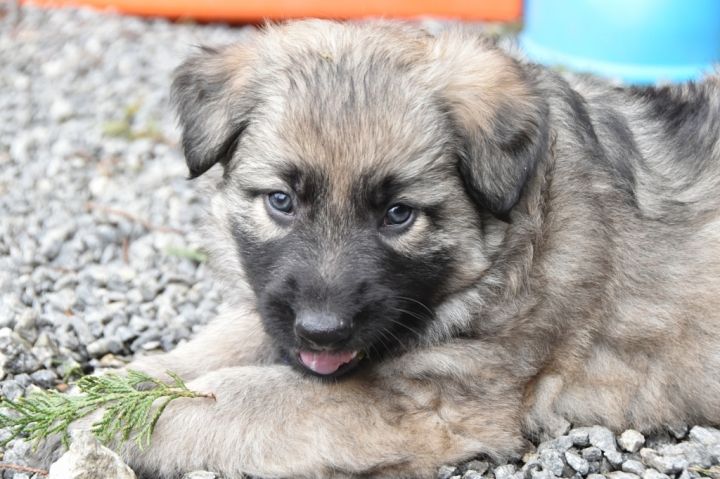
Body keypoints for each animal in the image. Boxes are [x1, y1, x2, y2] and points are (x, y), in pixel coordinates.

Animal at [109, 20, 720, 478]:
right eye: (281, 201)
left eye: (398, 214)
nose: (322, 332)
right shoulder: (278, 311)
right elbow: (221, 344)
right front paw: (119, 384)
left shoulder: (422, 401)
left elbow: (230, 397)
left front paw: (103, 421)